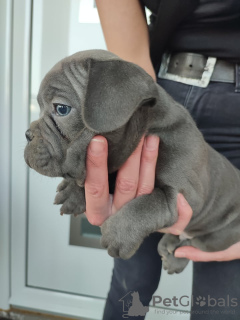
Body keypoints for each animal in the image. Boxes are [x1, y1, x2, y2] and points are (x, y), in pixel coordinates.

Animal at [23, 49, 240, 272]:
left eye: (62, 109)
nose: (27, 134)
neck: (149, 126)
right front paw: (73, 193)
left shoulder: (184, 197)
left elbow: (150, 203)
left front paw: (118, 235)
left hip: (220, 234)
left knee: (195, 243)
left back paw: (175, 258)